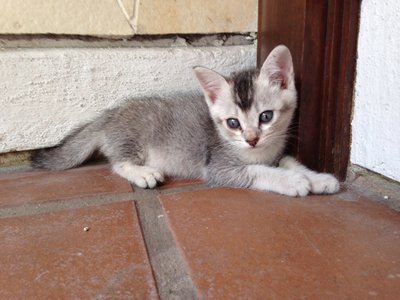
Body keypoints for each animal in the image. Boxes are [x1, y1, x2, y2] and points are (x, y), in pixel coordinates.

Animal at [31, 44, 340, 195]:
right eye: (233, 123)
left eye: (266, 116)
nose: (251, 139)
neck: (259, 152)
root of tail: (109, 114)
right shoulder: (218, 168)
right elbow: (258, 171)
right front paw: (295, 182)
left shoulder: (275, 153)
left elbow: (289, 161)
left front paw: (318, 178)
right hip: (133, 137)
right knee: (118, 163)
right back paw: (143, 173)